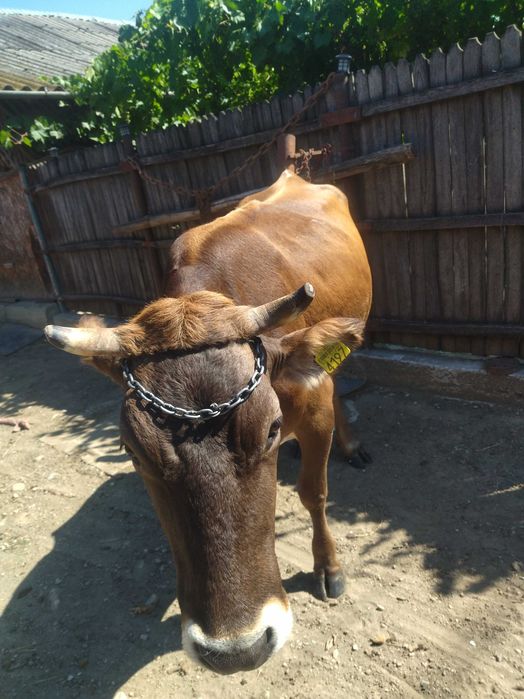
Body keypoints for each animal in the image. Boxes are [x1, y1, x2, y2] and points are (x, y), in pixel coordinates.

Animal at [44, 170, 372, 674]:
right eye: (131, 450)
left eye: (272, 428)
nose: (239, 650)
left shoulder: (315, 404)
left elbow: (314, 492)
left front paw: (329, 568)